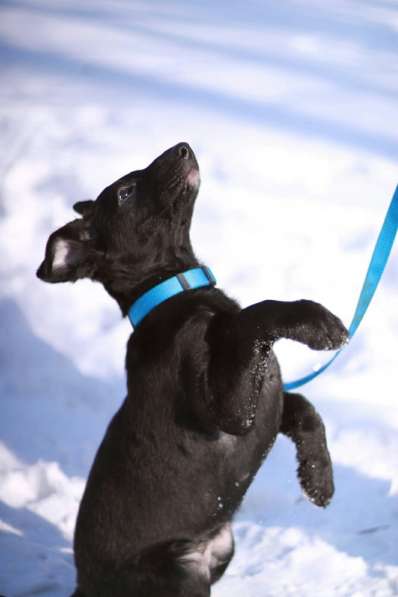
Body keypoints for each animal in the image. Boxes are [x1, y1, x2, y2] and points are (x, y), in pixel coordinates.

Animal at [38, 143, 348, 596]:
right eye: (126, 193)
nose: (183, 147)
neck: (179, 293)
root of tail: (87, 586)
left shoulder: (266, 398)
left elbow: (307, 408)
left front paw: (318, 479)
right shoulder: (230, 412)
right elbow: (254, 318)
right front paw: (317, 322)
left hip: (221, 548)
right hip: (177, 572)